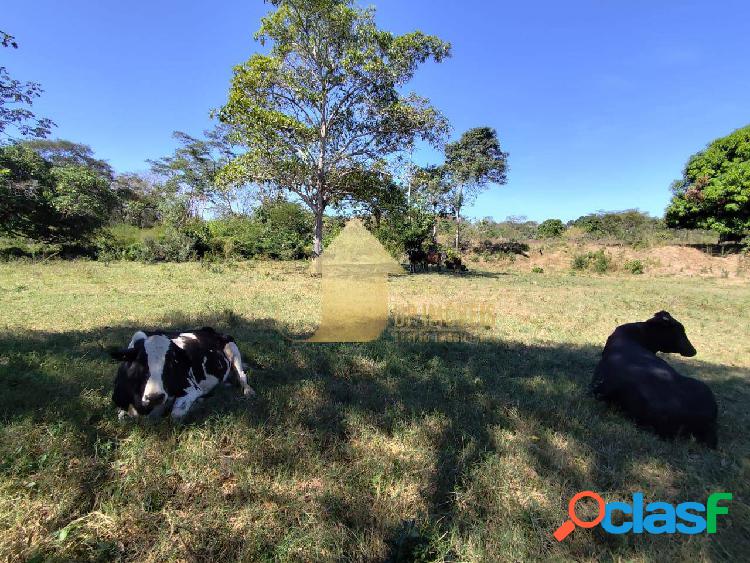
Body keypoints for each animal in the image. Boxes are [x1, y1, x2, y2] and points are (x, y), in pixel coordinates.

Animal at [110, 326, 254, 418]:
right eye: (140, 362)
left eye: (171, 363)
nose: (155, 397)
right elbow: (122, 417)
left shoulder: (192, 388)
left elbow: (176, 414)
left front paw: (197, 403)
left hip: (232, 349)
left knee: (242, 376)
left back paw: (248, 391)